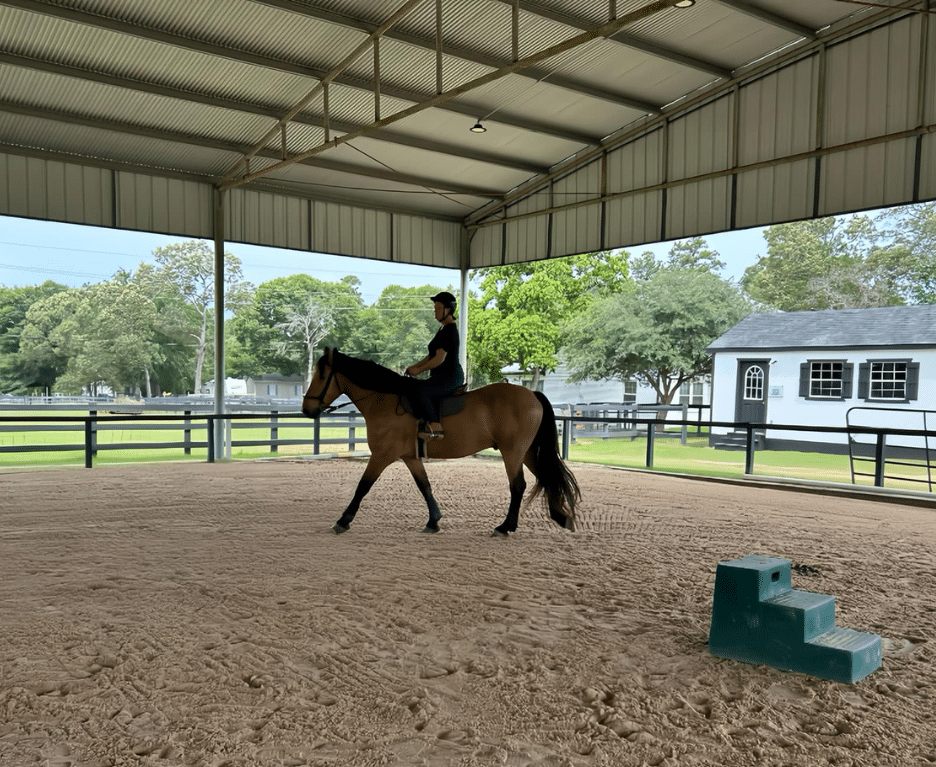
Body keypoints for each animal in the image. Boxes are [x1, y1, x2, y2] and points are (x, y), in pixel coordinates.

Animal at [302, 346, 576, 536]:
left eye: (322, 375)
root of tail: (532, 394)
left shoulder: (382, 455)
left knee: (518, 485)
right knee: (545, 477)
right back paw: (560, 517)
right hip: (526, 452)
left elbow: (363, 486)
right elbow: (424, 486)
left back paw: (504, 526)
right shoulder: (410, 457)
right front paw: (433, 521)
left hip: (512, 452)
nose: (307, 409)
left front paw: (342, 521)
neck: (385, 401)